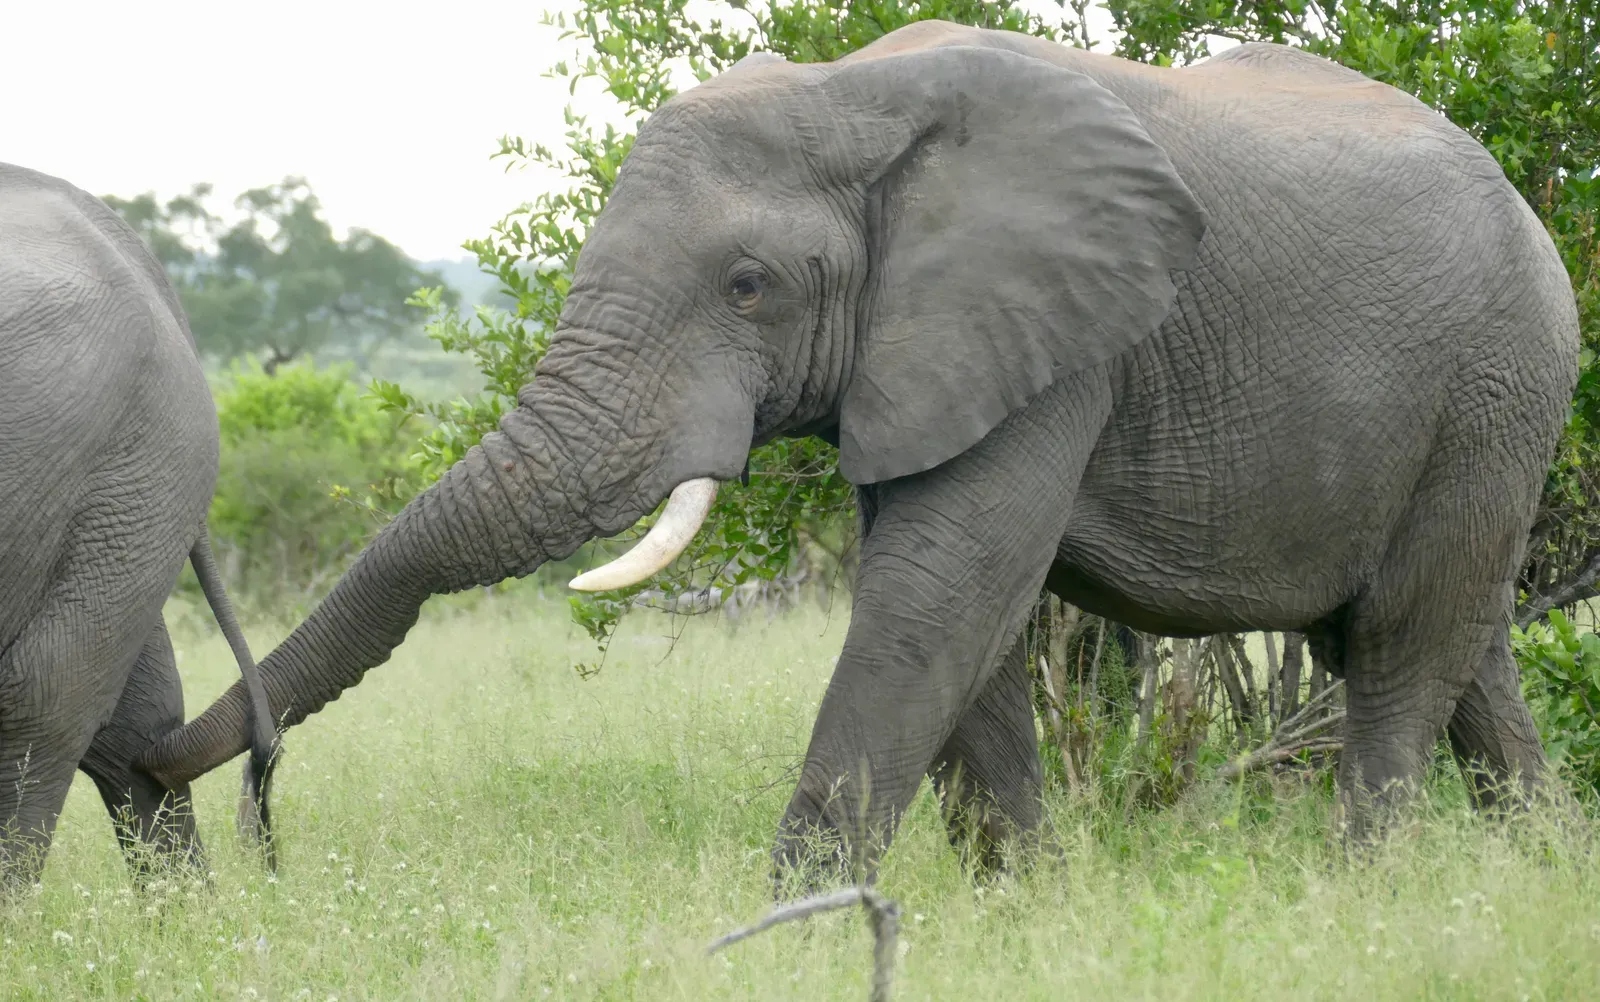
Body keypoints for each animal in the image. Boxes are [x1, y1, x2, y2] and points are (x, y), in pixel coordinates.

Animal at [140, 21, 1579, 880]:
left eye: (748, 287)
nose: (180, 778)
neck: (854, 92)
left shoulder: (1067, 336)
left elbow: (944, 588)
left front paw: (793, 926)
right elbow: (962, 615)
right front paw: (1024, 909)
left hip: (1498, 383)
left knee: (1402, 647)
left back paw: (1363, 891)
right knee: (1456, 647)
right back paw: (1530, 870)